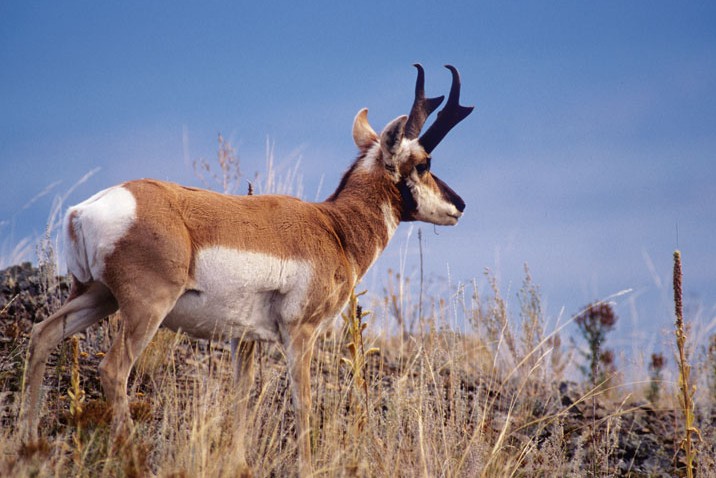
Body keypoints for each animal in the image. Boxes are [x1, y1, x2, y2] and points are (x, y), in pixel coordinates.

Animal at [18, 64, 470, 474]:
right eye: (424, 163)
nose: (460, 205)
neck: (333, 227)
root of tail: (86, 209)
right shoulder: (300, 334)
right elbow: (303, 403)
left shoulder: (243, 340)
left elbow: (242, 396)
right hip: (144, 310)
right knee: (113, 370)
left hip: (97, 296)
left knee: (42, 334)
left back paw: (30, 443)